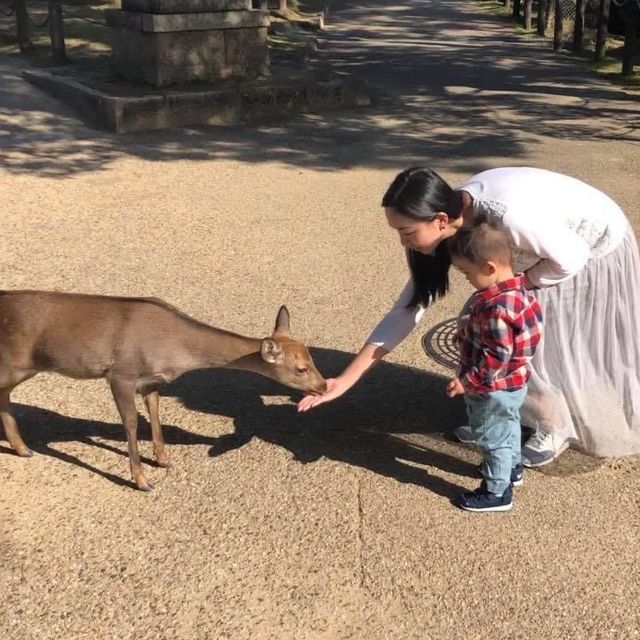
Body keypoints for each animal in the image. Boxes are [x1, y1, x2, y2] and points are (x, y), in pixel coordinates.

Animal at [0, 290, 324, 490]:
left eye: (312, 357)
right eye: (301, 369)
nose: (322, 386)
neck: (174, 351)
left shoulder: (150, 380)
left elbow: (155, 411)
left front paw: (162, 459)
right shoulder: (121, 374)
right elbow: (131, 423)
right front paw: (141, 481)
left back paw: (22, 448)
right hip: (14, 361)